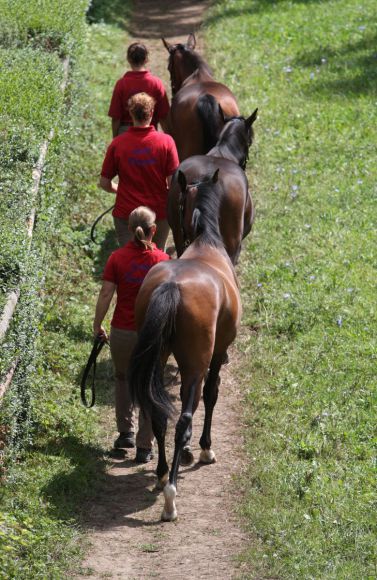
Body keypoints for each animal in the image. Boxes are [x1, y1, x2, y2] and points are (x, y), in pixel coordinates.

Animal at [129, 171, 241, 520]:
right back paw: (171, 496)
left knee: (158, 414)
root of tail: (172, 286)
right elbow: (212, 394)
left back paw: (162, 473)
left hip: (158, 359)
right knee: (182, 421)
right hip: (195, 365)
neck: (207, 245)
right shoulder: (216, 354)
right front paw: (204, 448)